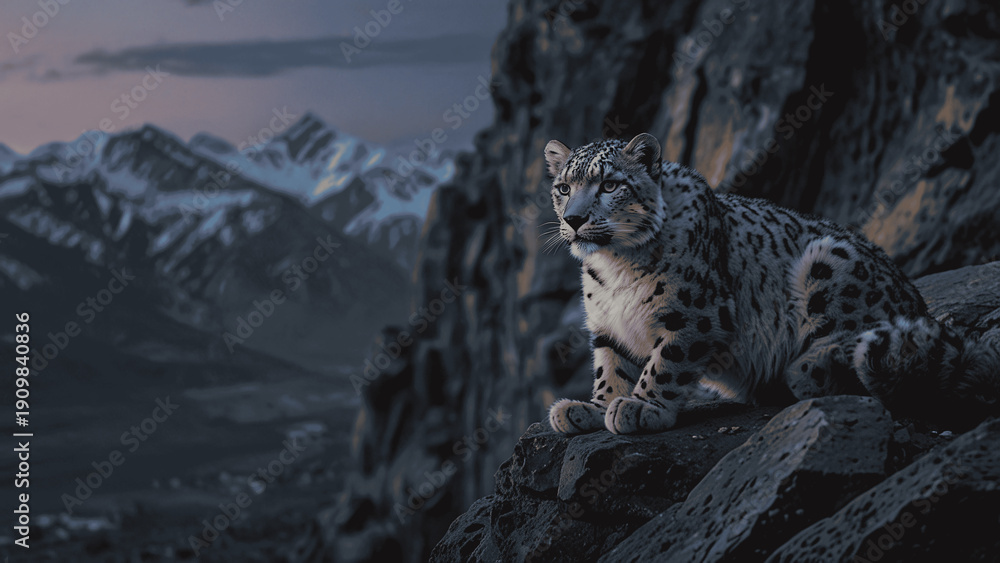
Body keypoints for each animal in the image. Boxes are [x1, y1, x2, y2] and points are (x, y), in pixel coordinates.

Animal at [544, 132, 1000, 434]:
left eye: (610, 184)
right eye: (563, 187)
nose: (574, 219)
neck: (616, 265)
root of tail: (917, 301)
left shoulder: (697, 314)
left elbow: (666, 362)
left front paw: (640, 407)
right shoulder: (606, 326)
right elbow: (610, 366)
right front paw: (590, 407)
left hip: (830, 263)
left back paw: (808, 368)